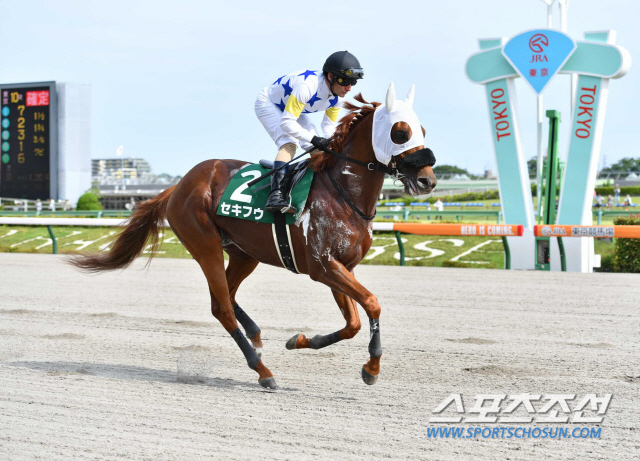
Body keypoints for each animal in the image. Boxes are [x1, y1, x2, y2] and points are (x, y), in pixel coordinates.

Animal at [70, 83, 437, 389]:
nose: (428, 181)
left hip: (244, 253)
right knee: (221, 306)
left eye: (422, 130)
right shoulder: (323, 267)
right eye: (400, 132)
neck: (342, 192)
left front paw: (300, 340)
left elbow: (353, 323)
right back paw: (262, 371)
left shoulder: (342, 266)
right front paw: (372, 369)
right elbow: (372, 303)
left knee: (228, 294)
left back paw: (257, 336)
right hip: (205, 245)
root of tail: (178, 185)